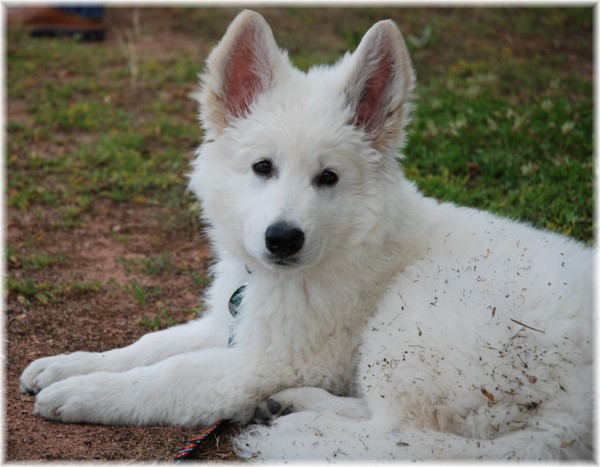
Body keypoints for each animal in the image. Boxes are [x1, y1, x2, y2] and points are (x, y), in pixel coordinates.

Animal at [21, 10, 592, 460]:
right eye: (262, 167)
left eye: (328, 178)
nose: (282, 239)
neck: (343, 247)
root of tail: (570, 422)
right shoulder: (237, 323)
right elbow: (152, 343)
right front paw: (68, 365)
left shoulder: (274, 358)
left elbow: (175, 374)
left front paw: (83, 392)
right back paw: (293, 403)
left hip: (411, 322)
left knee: (402, 437)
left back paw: (303, 419)